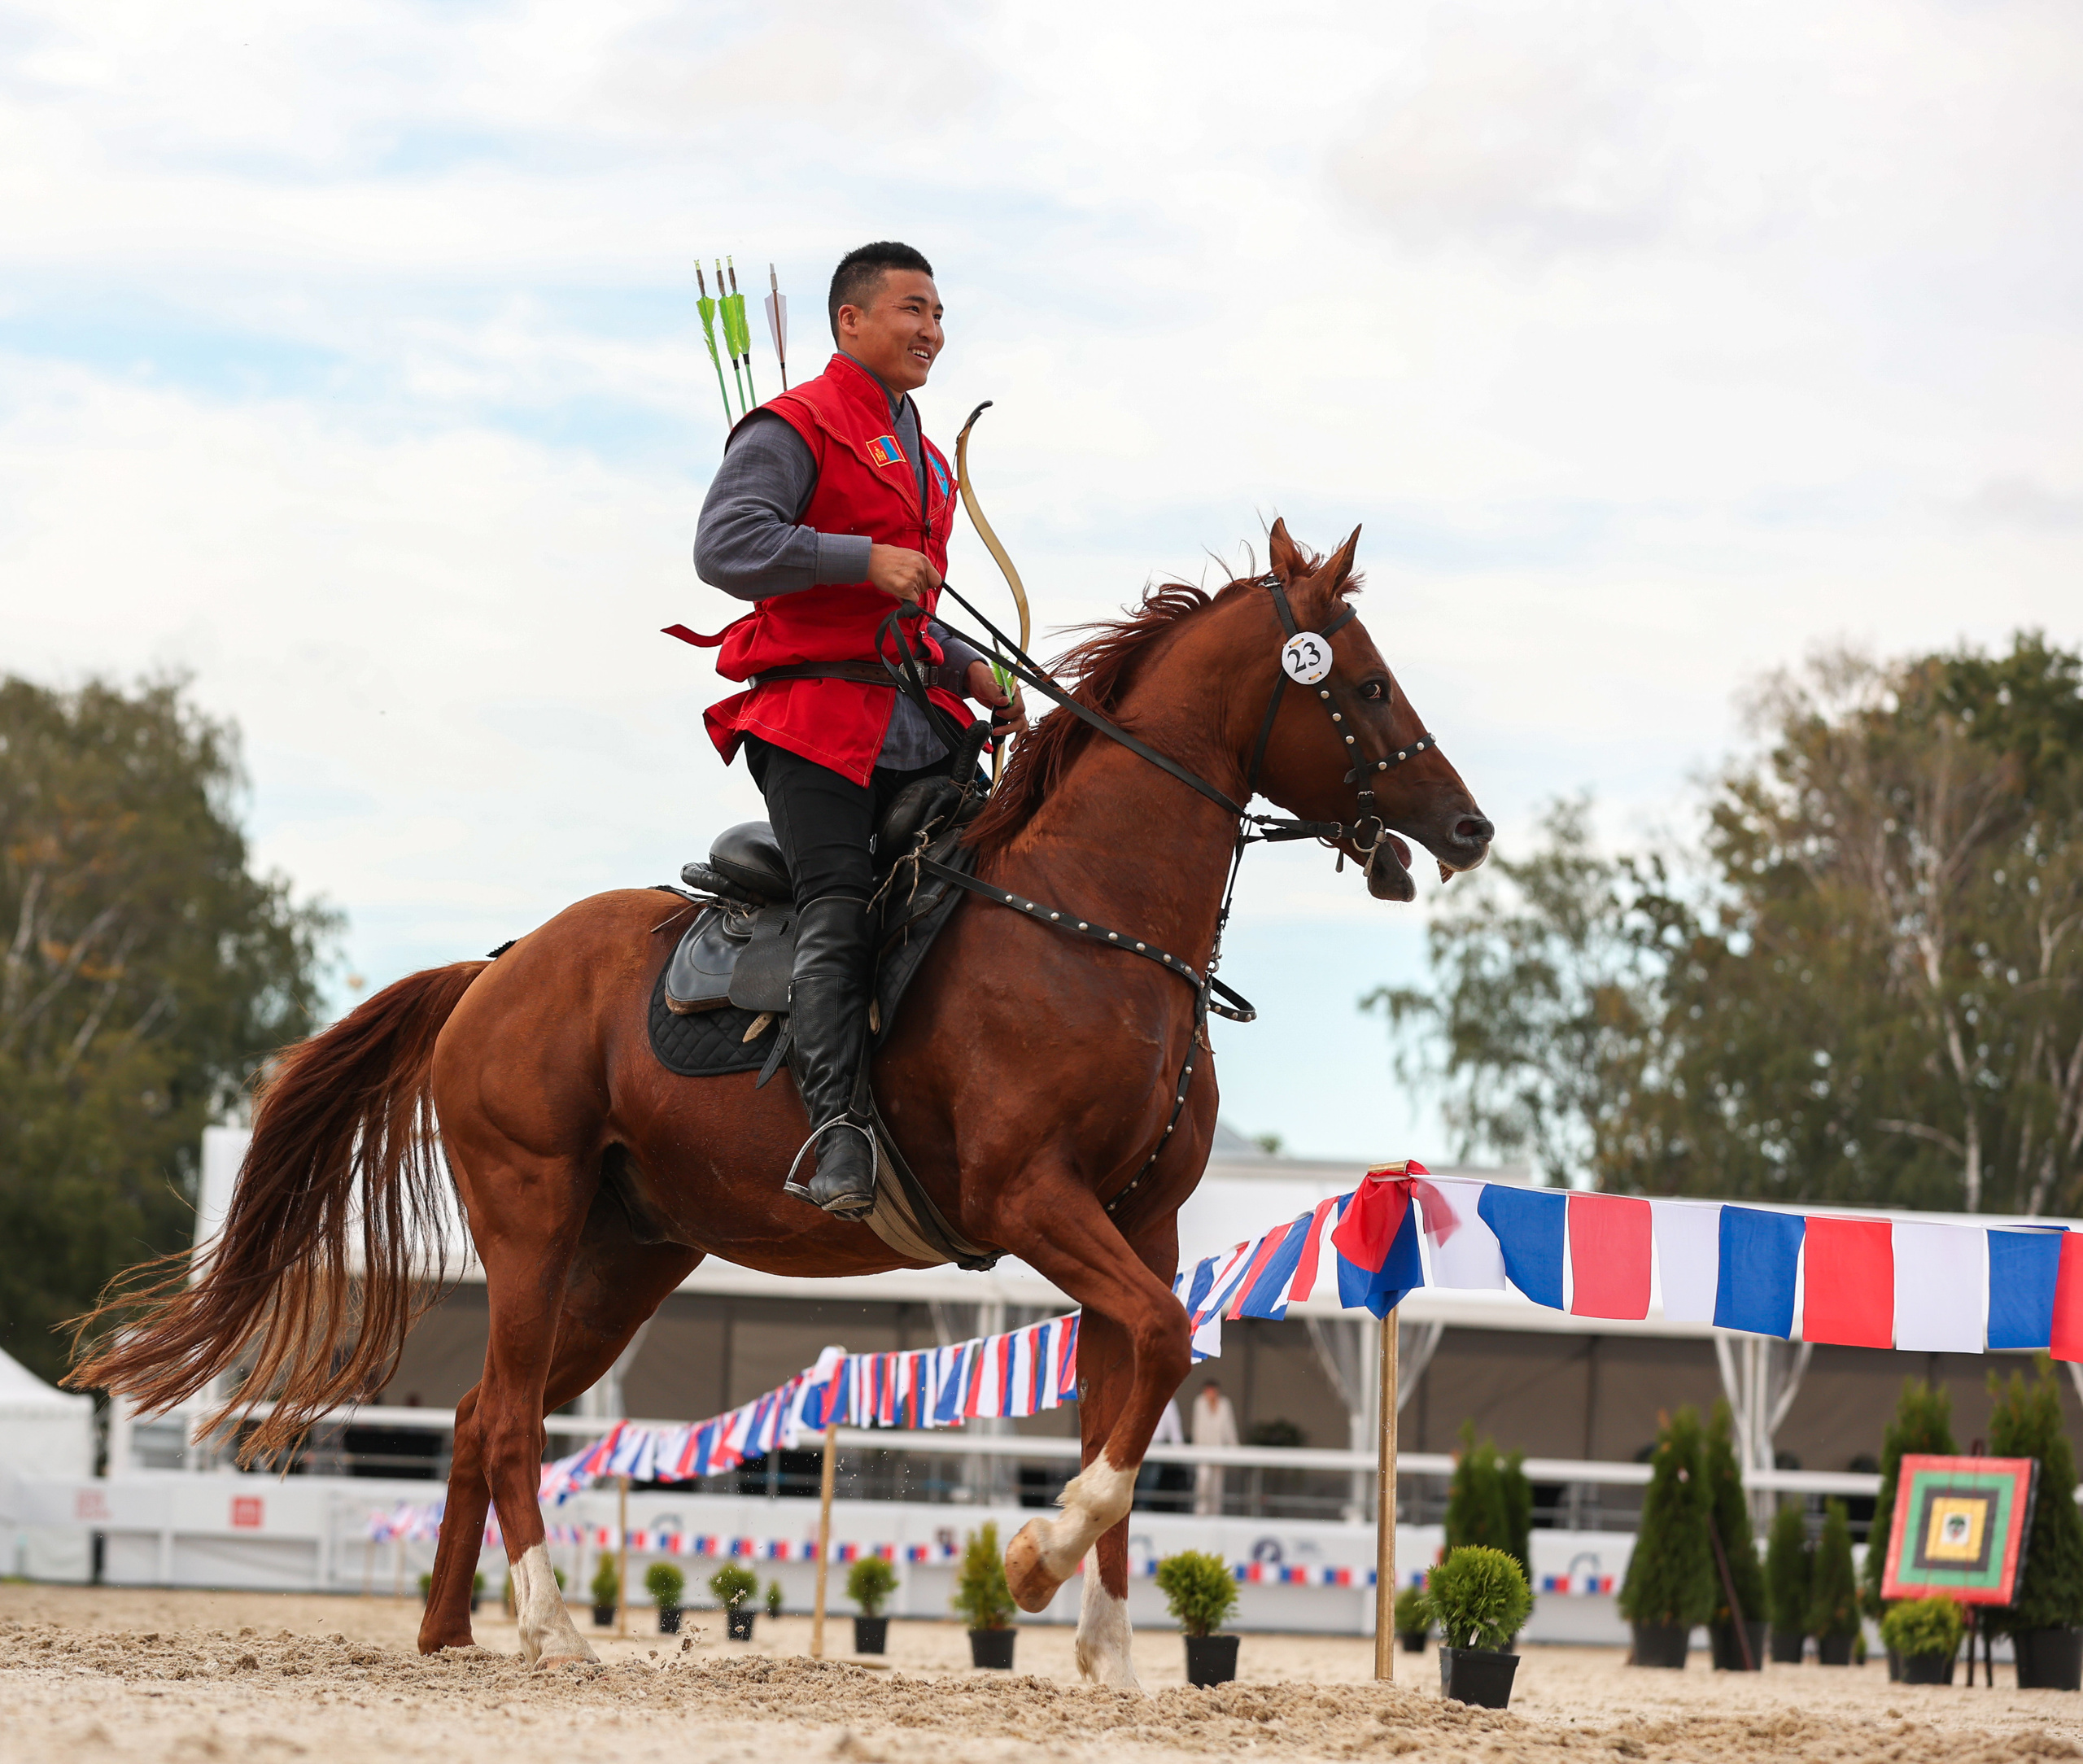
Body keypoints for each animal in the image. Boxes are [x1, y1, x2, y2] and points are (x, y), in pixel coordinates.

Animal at [73, 520, 1492, 1687]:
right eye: (1366, 684)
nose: (1469, 827)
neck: (1093, 926)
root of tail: (495, 971)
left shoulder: (1141, 1223)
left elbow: (1131, 1398)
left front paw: (1106, 1657)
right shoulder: (1033, 1201)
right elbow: (1153, 1348)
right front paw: (1033, 1563)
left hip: (624, 1258)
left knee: (480, 1415)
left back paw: (453, 1634)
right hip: (531, 1222)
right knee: (516, 1418)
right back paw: (548, 1624)